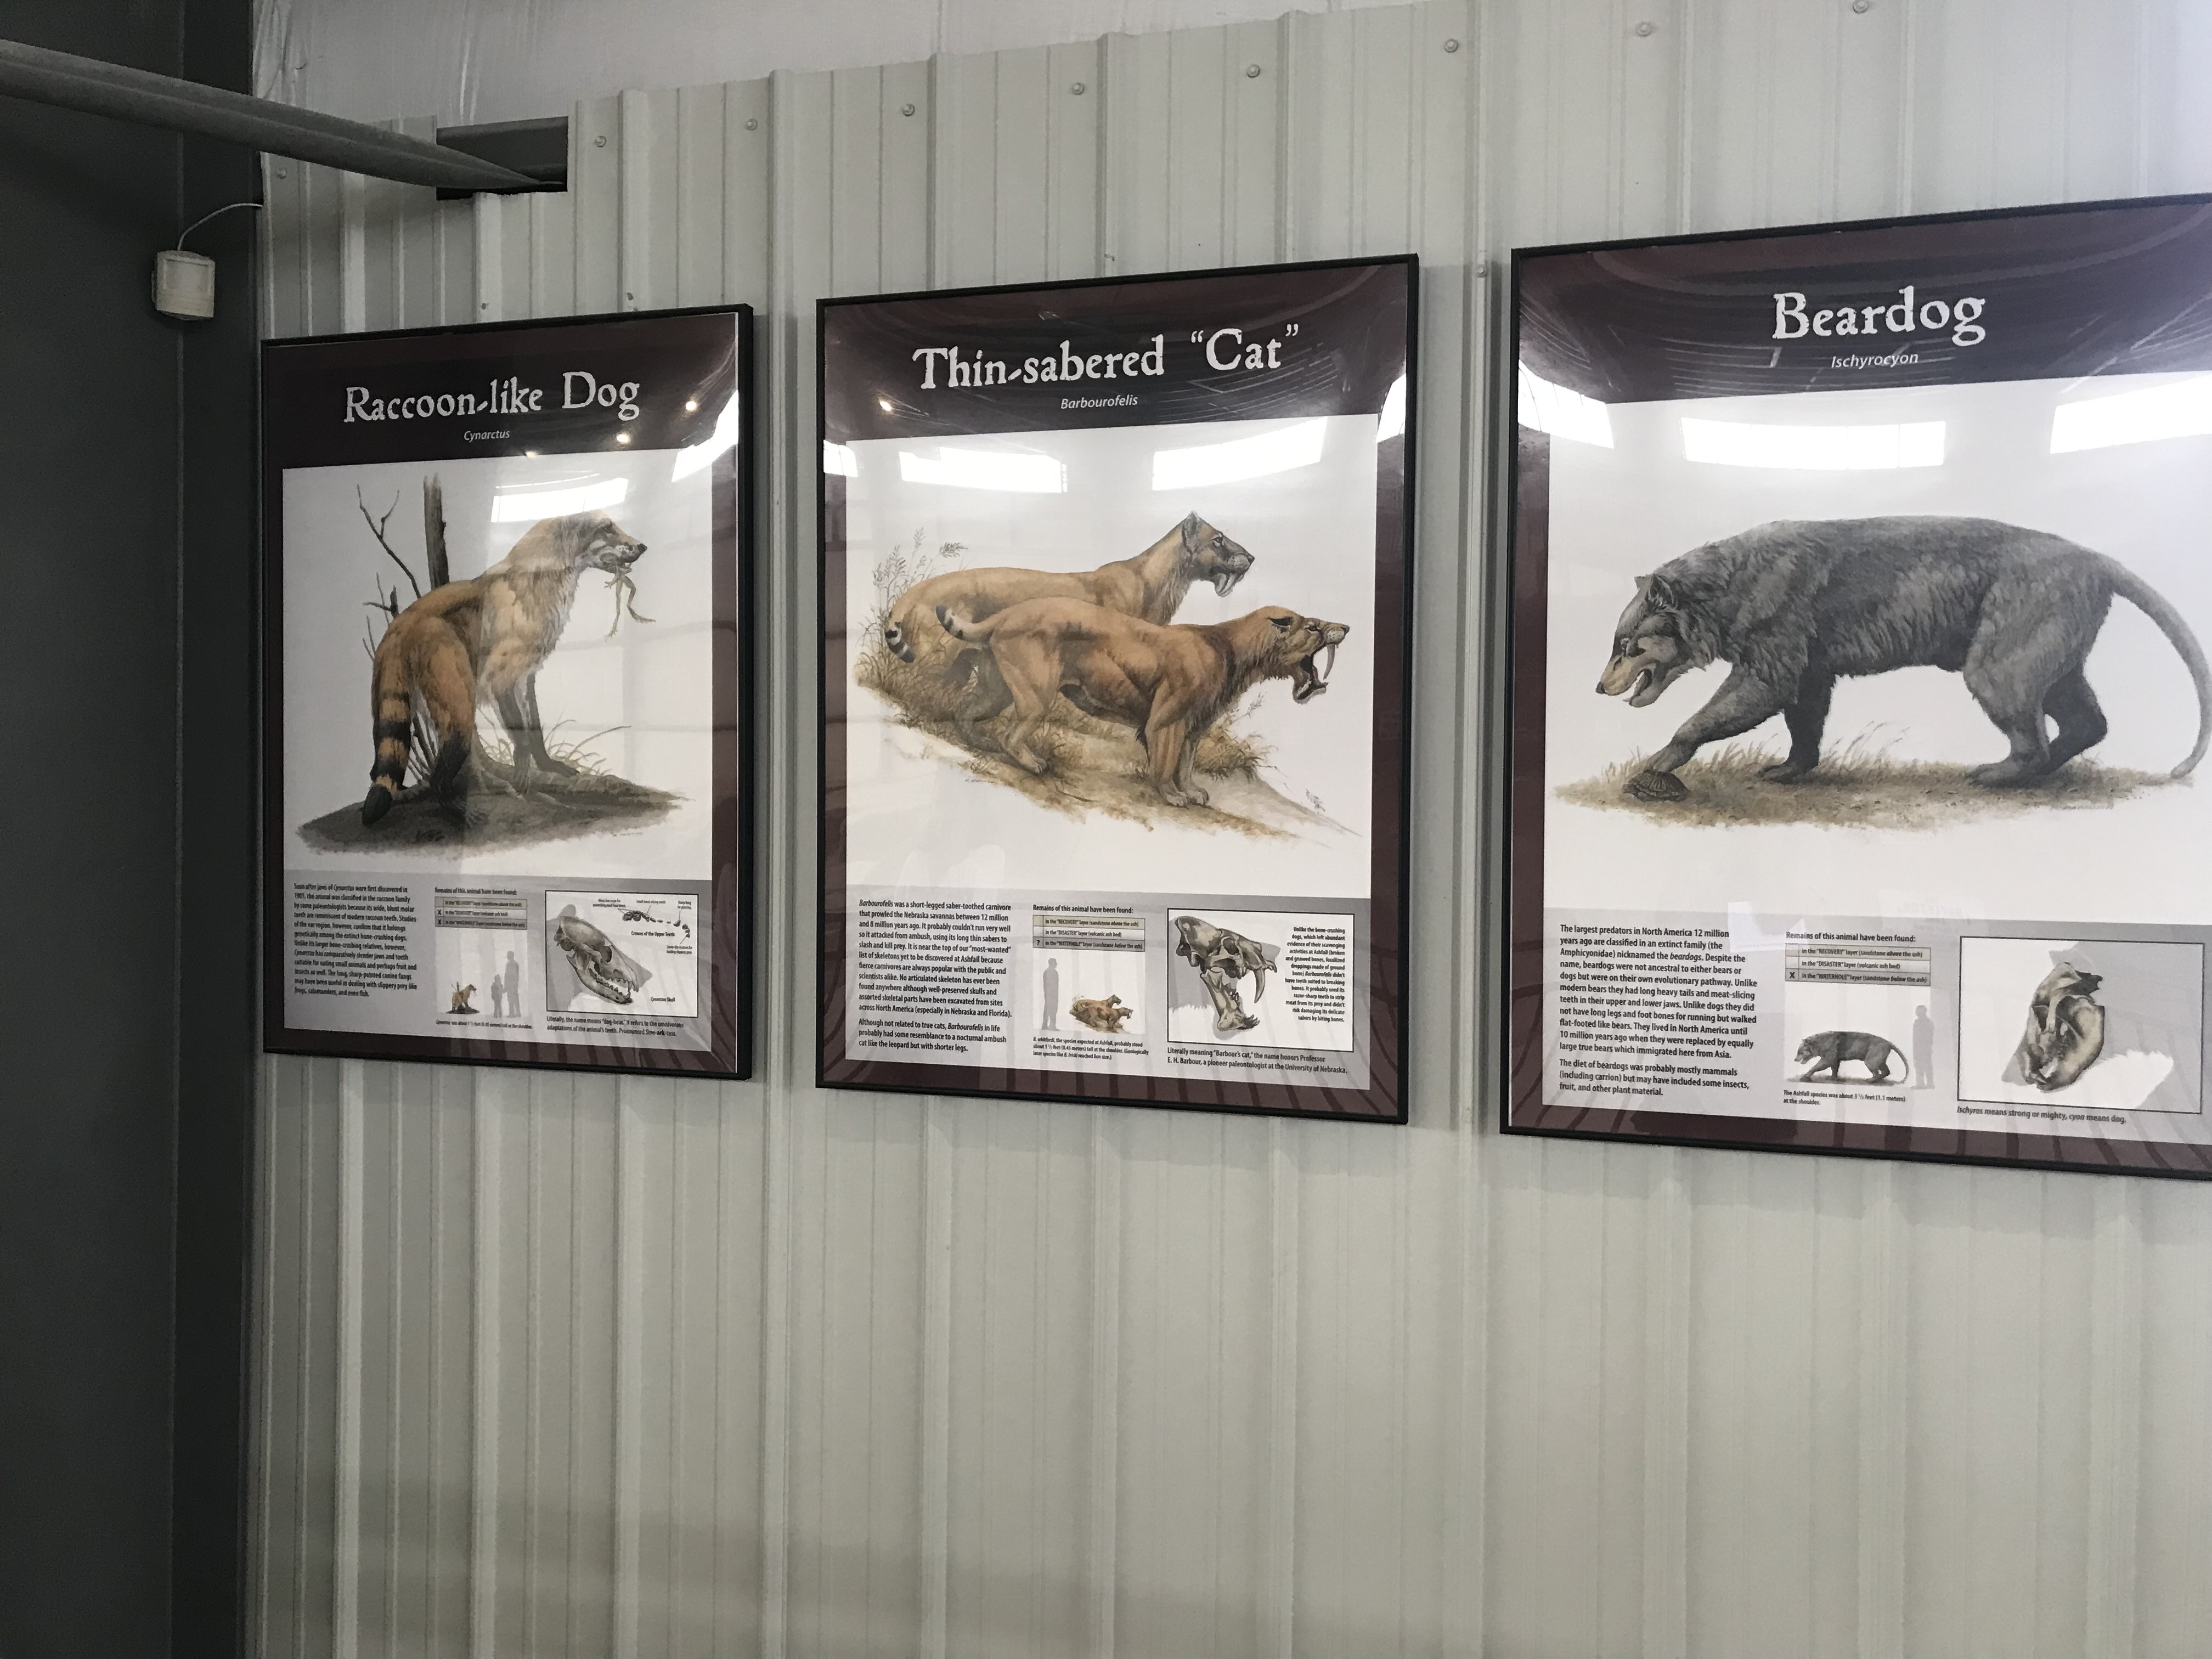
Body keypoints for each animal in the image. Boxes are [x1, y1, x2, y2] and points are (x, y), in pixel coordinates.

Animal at [936, 599, 1348, 808]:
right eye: (1312, 626)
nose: (1345, 627)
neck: (1235, 653)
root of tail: (1010, 611)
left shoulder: (1194, 729)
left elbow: (1186, 765)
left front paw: (1192, 792)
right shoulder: (1167, 721)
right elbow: (1165, 764)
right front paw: (1173, 796)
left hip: (1000, 690)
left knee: (965, 710)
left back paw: (979, 742)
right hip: (1037, 696)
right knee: (1010, 735)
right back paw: (1033, 763)